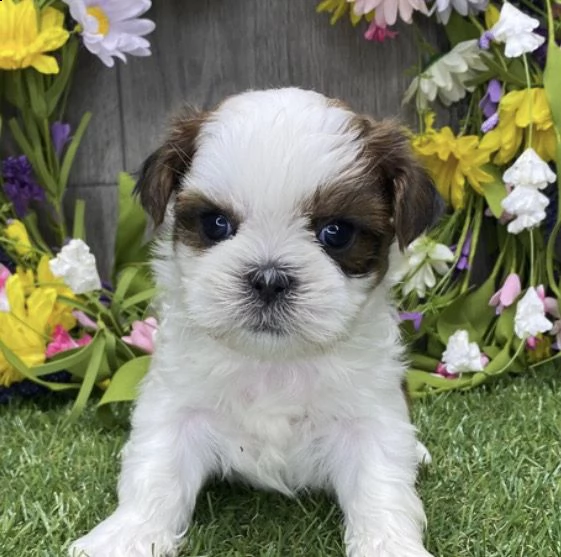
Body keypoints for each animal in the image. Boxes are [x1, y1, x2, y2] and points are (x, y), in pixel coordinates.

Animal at [70, 87, 442, 556]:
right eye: (216, 224)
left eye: (336, 233)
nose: (268, 278)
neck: (273, 362)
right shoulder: (176, 404)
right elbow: (156, 473)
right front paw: (127, 535)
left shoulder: (370, 415)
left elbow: (382, 487)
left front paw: (390, 545)